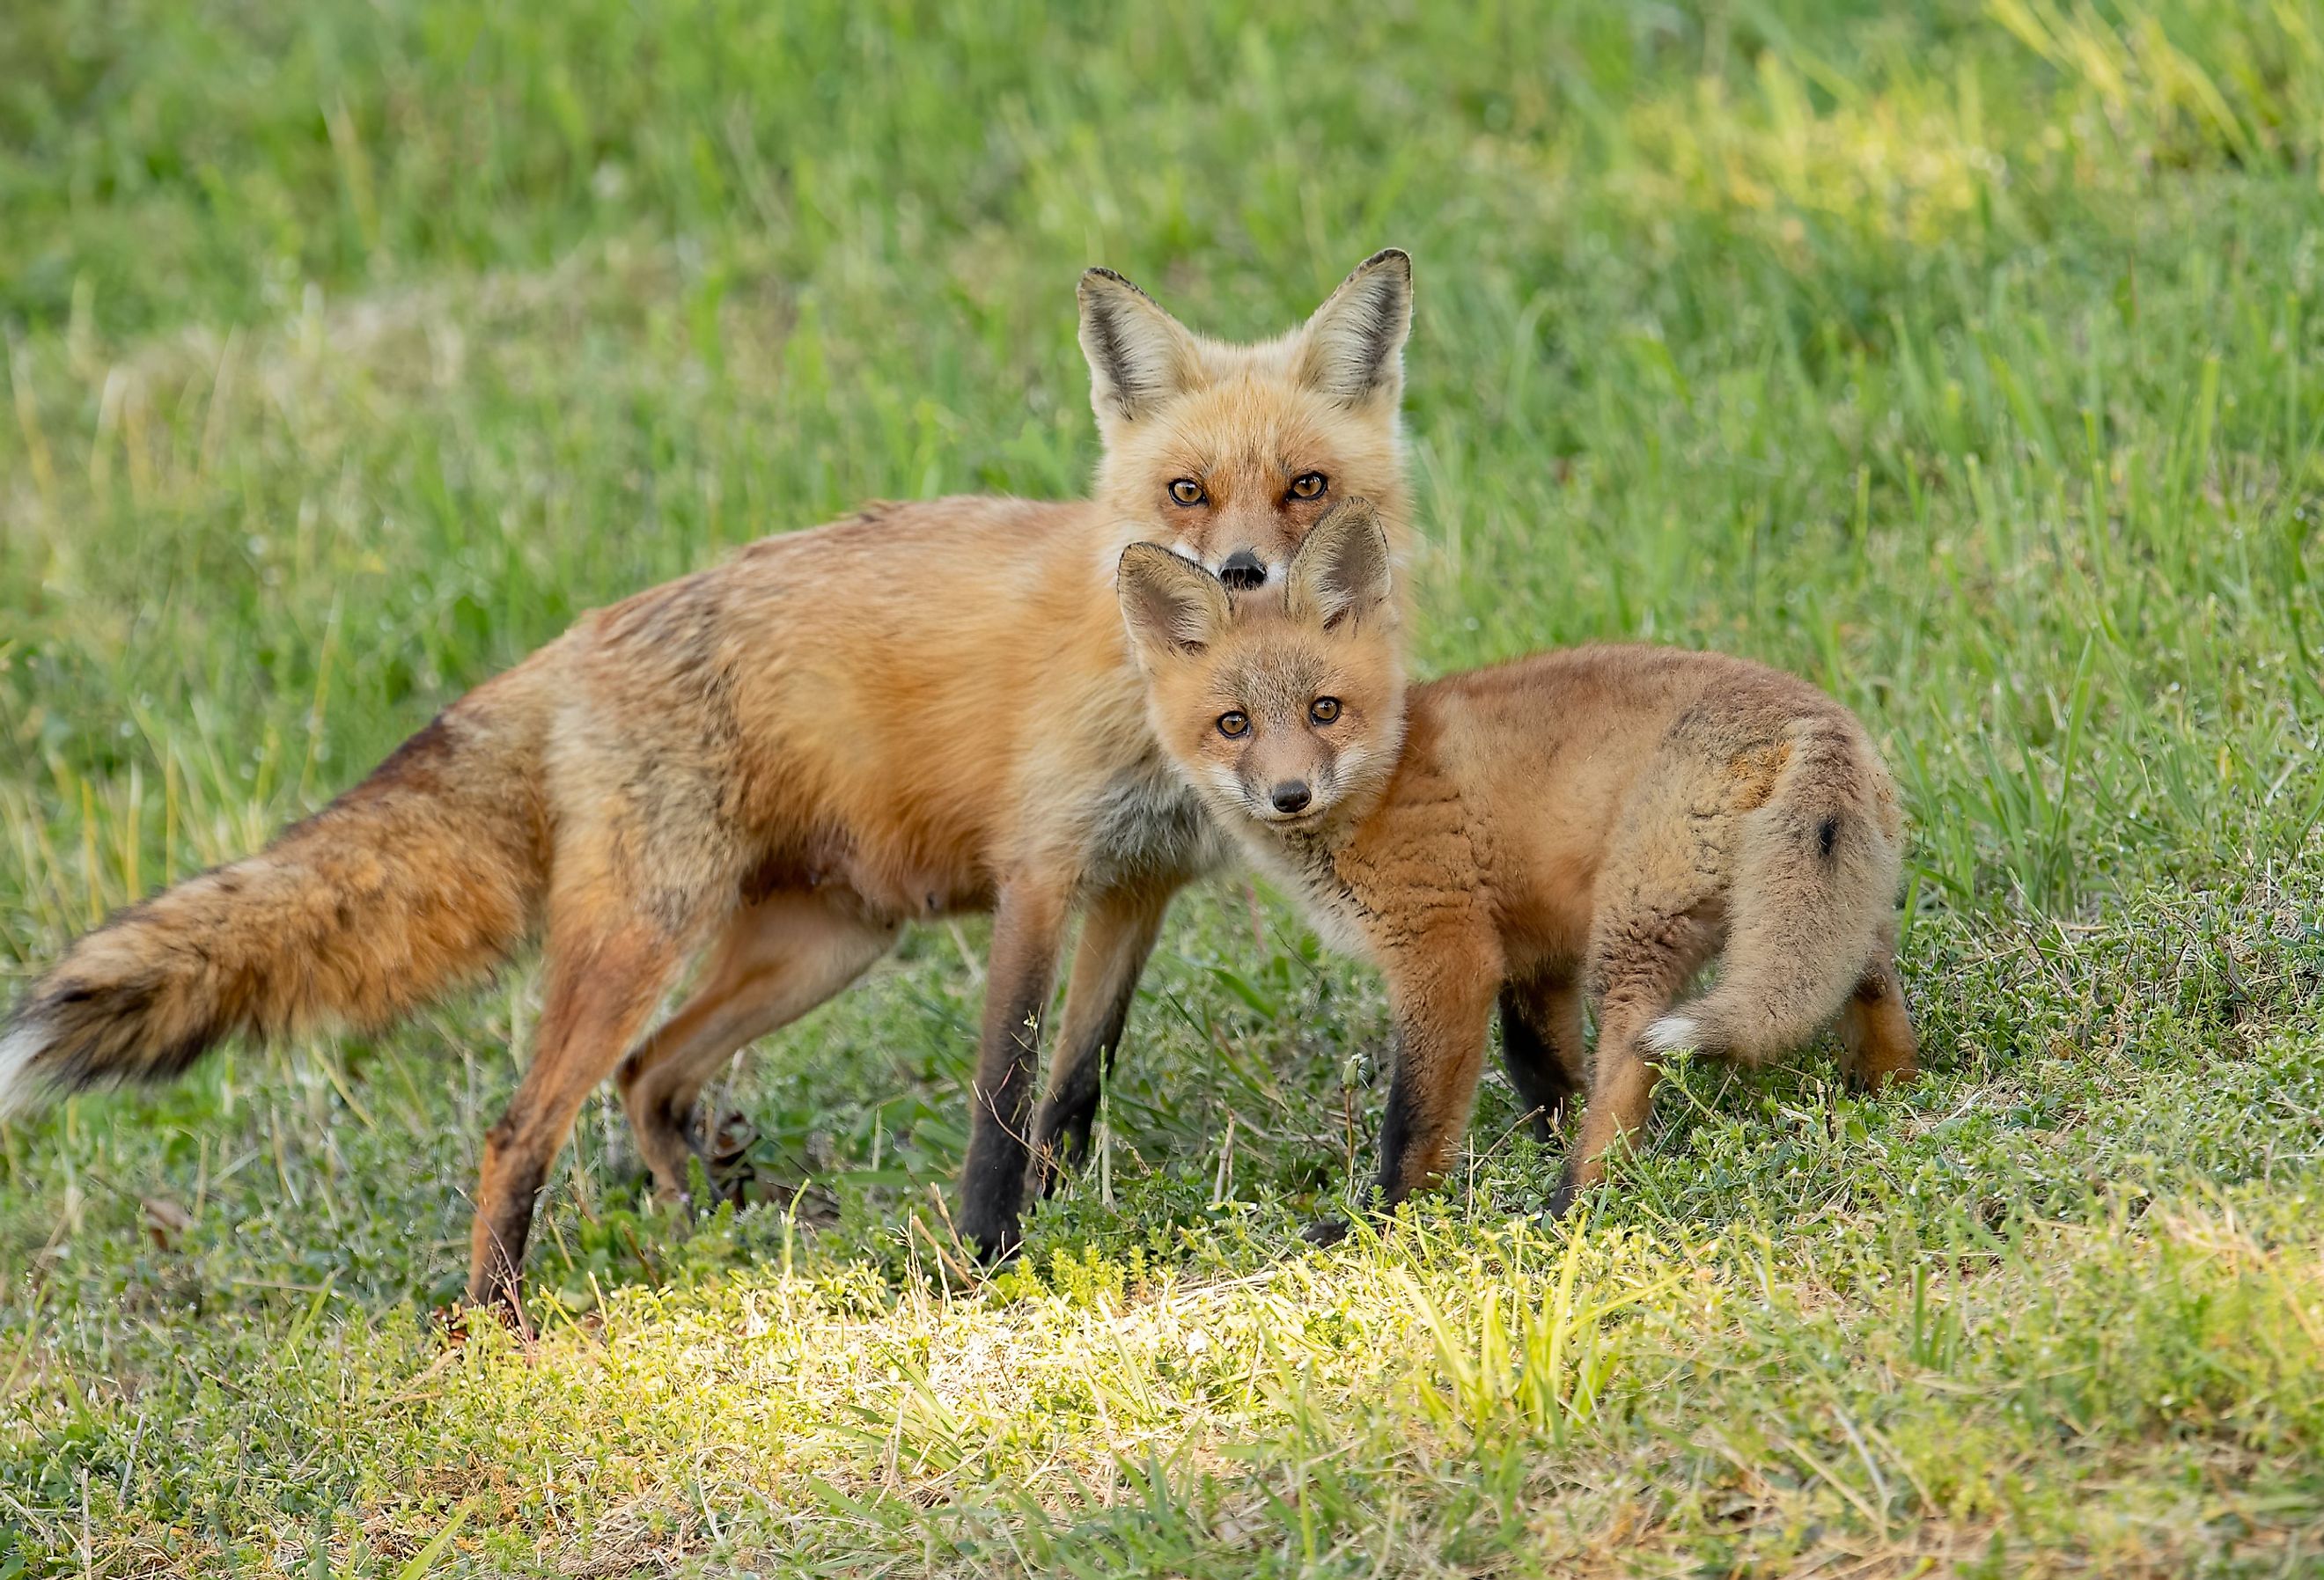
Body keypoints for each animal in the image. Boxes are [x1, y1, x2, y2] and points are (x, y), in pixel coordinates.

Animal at [0, 249, 1413, 1310]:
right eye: (1186, 491)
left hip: (818, 946)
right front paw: (985, 1257)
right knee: (520, 1127)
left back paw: (701, 1222)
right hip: (648, 936)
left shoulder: (1138, 886)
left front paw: (1064, 1217)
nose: (1243, 575)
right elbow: (1001, 1099)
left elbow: (1072, 1088)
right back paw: (498, 1320)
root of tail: (576, 639)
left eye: (1305, 486)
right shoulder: (1041, 875)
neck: (1155, 703)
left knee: (648, 1076)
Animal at [1115, 499, 1915, 1226]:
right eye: (1234, 724)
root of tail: (1809, 714)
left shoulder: (1447, 952)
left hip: (1632, 933)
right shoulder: (1533, 955)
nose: (1290, 795)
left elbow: (1416, 1120)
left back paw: (1578, 1198)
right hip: (1834, 914)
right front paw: (1539, 1148)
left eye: (1324, 710)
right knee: (1873, 994)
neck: (1386, 782)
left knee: (1631, 1060)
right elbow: (1543, 1074)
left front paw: (1384, 1220)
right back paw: (1889, 1095)